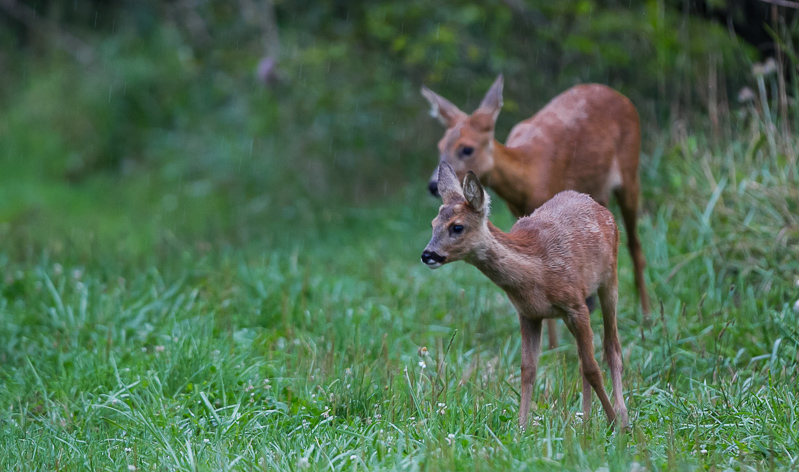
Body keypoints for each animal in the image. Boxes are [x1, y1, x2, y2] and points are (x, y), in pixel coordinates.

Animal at [422, 76, 652, 350]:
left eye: (467, 149)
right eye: (440, 146)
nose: (432, 185)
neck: (527, 172)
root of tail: (622, 97)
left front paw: (553, 348)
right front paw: (554, 345)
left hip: (630, 174)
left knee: (635, 245)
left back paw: (646, 315)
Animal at [422, 164, 628, 430]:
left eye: (457, 227)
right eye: (433, 223)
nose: (428, 255)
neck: (538, 273)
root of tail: (600, 207)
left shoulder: (575, 304)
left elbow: (592, 368)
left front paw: (614, 422)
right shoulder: (528, 313)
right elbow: (528, 369)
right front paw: (521, 427)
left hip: (610, 278)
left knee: (612, 346)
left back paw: (622, 415)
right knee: (584, 357)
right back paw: (586, 419)